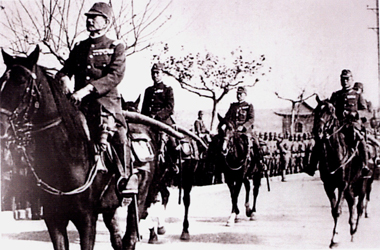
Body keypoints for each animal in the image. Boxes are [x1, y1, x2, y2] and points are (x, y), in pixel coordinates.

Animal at [312, 96, 368, 248]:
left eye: (331, 111)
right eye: (316, 110)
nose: (318, 132)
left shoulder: (342, 185)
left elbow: (338, 210)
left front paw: (335, 238)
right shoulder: (329, 186)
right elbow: (333, 210)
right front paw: (334, 237)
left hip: (363, 183)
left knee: (359, 207)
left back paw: (355, 230)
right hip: (350, 187)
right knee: (352, 203)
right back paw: (352, 228)